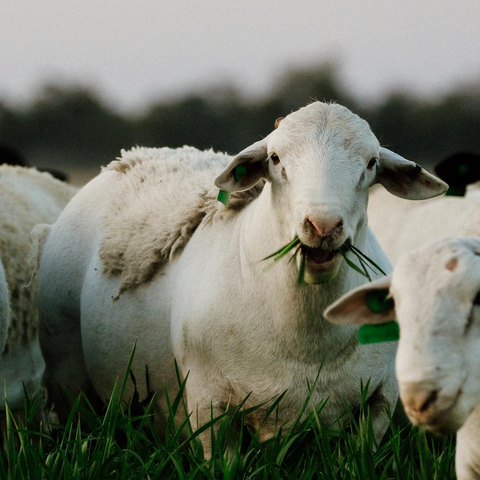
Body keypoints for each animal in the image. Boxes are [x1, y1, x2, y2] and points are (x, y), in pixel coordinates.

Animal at [35, 100, 448, 454]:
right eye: (276, 159)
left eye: (371, 163)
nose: (323, 225)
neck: (307, 343)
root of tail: (129, 157)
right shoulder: (208, 405)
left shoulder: (378, 402)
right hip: (66, 368)